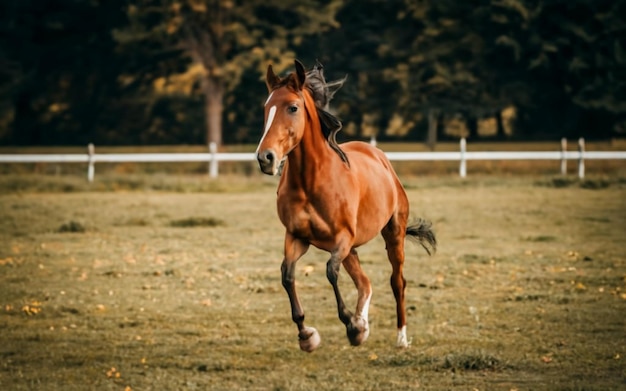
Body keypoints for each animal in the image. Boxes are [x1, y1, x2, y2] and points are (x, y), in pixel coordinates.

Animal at [254, 59, 434, 354]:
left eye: (292, 107)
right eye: (266, 108)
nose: (265, 158)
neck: (312, 181)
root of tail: (379, 156)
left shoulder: (342, 238)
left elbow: (330, 272)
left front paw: (351, 327)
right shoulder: (296, 237)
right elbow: (287, 276)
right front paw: (307, 334)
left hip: (392, 235)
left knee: (397, 282)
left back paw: (400, 338)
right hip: (352, 249)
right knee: (365, 282)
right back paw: (364, 324)